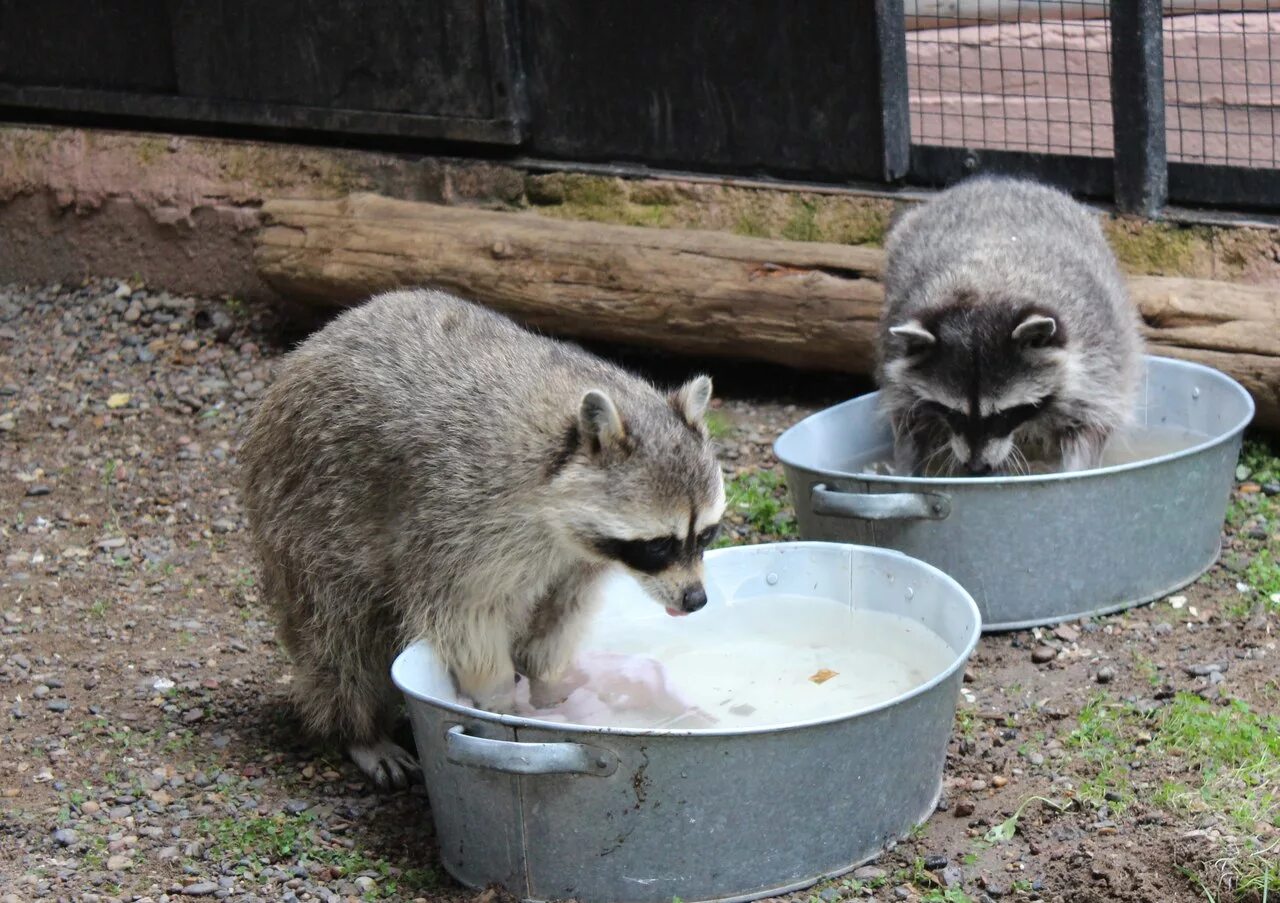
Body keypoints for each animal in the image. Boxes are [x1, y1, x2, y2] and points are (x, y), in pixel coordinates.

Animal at [236, 285, 727, 783]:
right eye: (660, 544)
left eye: (706, 535)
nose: (695, 599)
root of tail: (308, 348)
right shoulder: (460, 515)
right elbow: (465, 615)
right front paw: (501, 700)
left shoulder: (578, 559)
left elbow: (560, 613)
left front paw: (549, 688)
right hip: (304, 508)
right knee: (337, 636)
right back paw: (359, 729)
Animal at [880, 172, 1141, 476]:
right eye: (953, 412)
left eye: (1003, 414)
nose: (976, 467)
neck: (985, 288)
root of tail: (999, 181)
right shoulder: (897, 351)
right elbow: (908, 418)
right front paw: (907, 467)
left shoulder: (1097, 354)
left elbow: (1090, 425)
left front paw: (1074, 470)